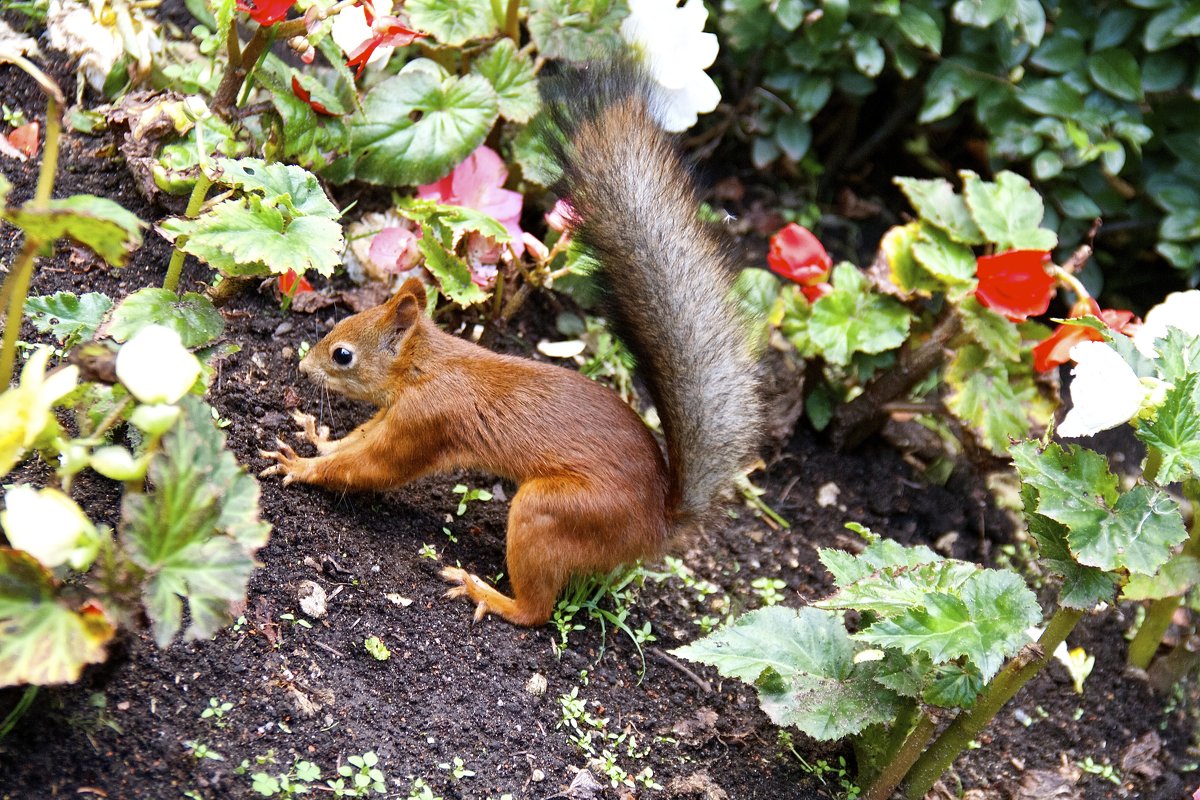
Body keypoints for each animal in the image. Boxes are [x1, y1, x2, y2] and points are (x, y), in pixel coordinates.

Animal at [262, 61, 763, 623]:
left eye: (342, 354)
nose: (303, 369)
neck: (424, 366)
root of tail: (656, 524)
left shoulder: (426, 420)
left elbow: (371, 466)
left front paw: (302, 467)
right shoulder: (394, 414)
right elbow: (357, 440)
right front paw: (317, 437)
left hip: (549, 513)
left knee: (537, 612)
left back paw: (487, 593)